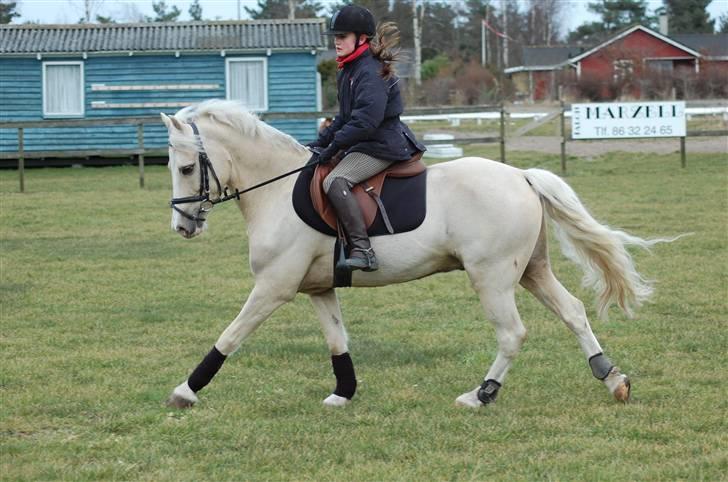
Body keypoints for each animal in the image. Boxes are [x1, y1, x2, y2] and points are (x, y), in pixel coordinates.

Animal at [161, 100, 660, 408]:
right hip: (530, 270)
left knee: (512, 334)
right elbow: (338, 340)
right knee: (573, 312)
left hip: (493, 277)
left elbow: (229, 336)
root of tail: (521, 176)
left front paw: (186, 391)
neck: (277, 191)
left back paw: (481, 394)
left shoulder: (273, 288)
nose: (183, 227)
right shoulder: (318, 288)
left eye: (185, 168)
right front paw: (344, 393)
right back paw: (613, 379)